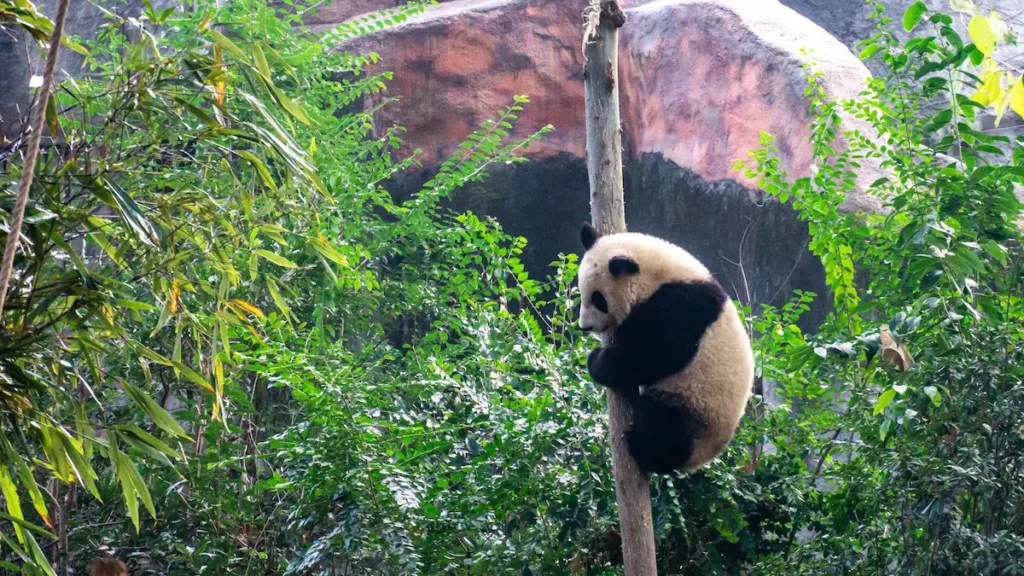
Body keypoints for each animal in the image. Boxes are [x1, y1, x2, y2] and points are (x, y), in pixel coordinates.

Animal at [577, 223, 754, 474]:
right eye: (582, 292)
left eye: (599, 299)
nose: (584, 326)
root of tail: (703, 458)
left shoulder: (678, 308)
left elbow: (656, 357)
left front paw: (596, 360)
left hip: (697, 406)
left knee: (662, 424)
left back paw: (643, 450)